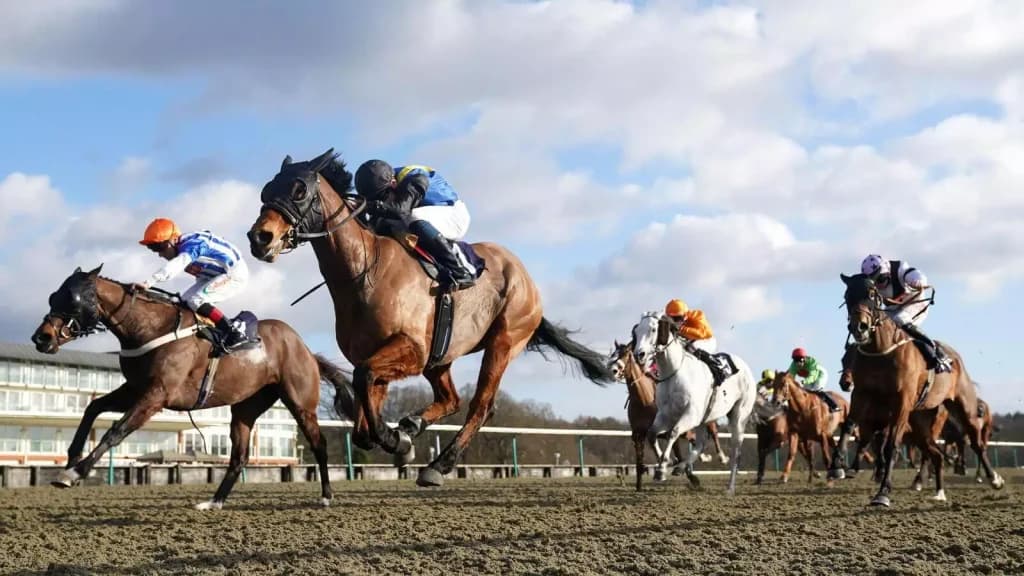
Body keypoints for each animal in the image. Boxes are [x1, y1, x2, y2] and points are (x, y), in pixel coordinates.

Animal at [29, 265, 351, 510]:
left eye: (72, 300)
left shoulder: (156, 395)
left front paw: (75, 472)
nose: (41, 338)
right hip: (246, 407)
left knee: (319, 444)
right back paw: (214, 502)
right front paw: (71, 458)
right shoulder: (135, 389)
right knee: (239, 457)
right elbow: (93, 407)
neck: (149, 327)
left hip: (300, 403)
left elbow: (115, 431)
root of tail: (306, 349)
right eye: (52, 297)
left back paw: (326, 496)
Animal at [247, 149, 614, 487]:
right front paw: (401, 438)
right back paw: (414, 425)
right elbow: (363, 420)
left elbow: (364, 386)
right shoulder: (379, 356)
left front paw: (396, 441)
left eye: (299, 190)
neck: (364, 272)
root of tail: (526, 278)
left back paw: (439, 465)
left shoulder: (412, 349)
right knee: (450, 398)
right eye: (266, 191)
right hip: (442, 355)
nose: (259, 237)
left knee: (481, 405)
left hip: (504, 340)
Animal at [606, 340, 727, 491]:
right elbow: (640, 461)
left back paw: (720, 457)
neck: (644, 400)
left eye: (625, 354)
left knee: (712, 433)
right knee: (693, 439)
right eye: (613, 354)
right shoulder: (638, 434)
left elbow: (676, 452)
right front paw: (639, 486)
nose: (613, 371)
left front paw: (686, 474)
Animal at [631, 312, 756, 495]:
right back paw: (682, 467)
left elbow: (673, 432)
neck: (675, 372)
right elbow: (652, 434)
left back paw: (730, 487)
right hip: (705, 419)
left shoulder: (691, 414)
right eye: (636, 331)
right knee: (701, 444)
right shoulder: (666, 414)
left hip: (738, 416)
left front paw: (662, 467)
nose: (639, 355)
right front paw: (666, 463)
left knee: (736, 450)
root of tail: (745, 367)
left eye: (654, 329)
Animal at [837, 273, 1003, 506]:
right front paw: (837, 467)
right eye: (847, 295)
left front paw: (883, 492)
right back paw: (939, 491)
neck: (880, 351)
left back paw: (993, 479)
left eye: (871, 293)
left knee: (977, 444)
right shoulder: (861, 395)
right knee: (936, 454)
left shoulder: (901, 402)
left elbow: (891, 446)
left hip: (963, 406)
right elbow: (850, 426)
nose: (859, 327)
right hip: (921, 423)